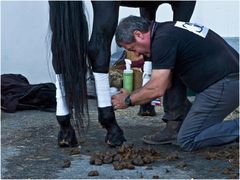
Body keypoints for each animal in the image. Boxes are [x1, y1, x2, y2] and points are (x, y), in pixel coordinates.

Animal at [48, 1, 195, 148]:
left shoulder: (147, 6)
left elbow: (148, 51)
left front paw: (147, 105)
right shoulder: (183, 4)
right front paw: (180, 113)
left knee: (58, 54)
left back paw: (66, 130)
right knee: (98, 50)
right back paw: (113, 129)